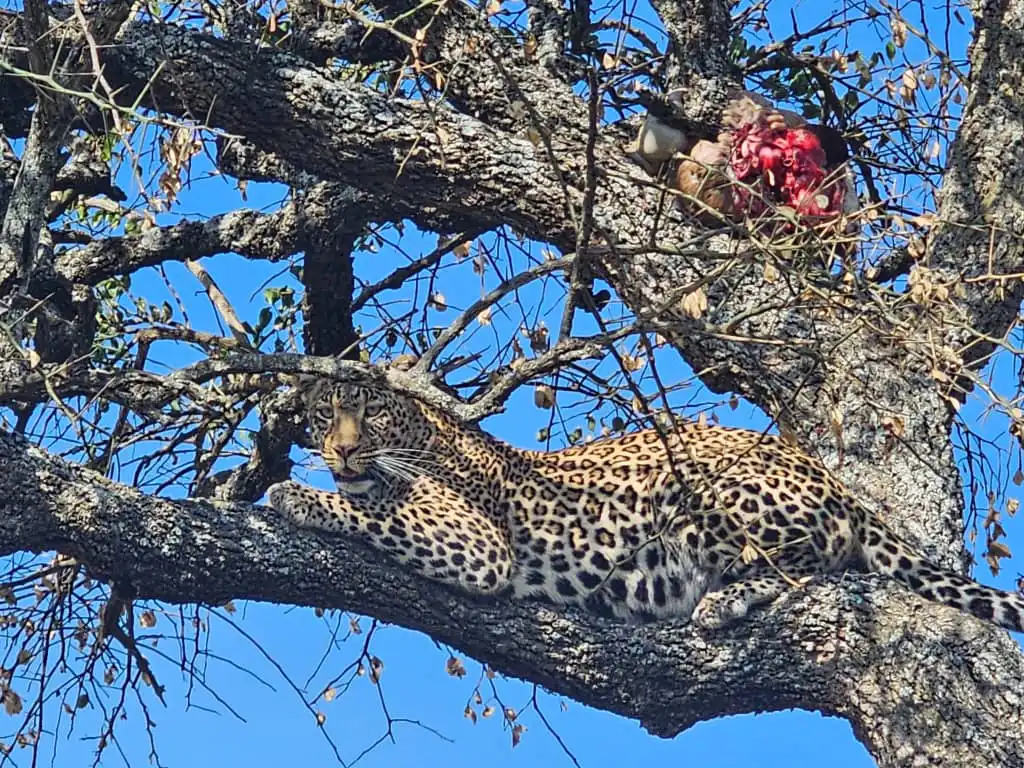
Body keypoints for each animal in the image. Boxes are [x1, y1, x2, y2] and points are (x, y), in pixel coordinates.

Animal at [266, 378, 1024, 632]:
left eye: (370, 413)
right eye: (320, 415)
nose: (339, 452)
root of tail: (837, 485)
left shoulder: (479, 545)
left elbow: (373, 512)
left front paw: (292, 494)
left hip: (706, 497)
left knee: (810, 564)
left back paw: (723, 601)